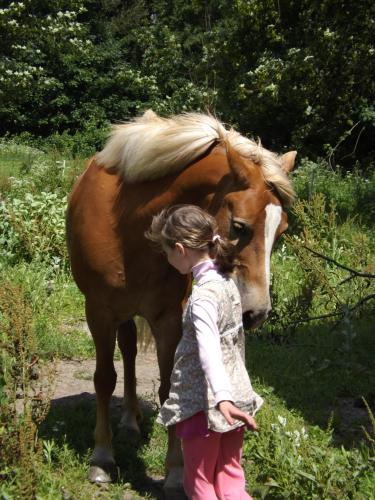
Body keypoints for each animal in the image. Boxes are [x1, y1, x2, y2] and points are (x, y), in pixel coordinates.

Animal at [67, 111, 296, 494]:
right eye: (239, 226)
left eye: (280, 232)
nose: (257, 313)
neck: (129, 227)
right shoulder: (98, 312)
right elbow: (103, 378)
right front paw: (101, 457)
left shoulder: (168, 318)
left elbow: (167, 385)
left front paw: (175, 472)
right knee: (127, 353)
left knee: (130, 351)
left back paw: (131, 420)